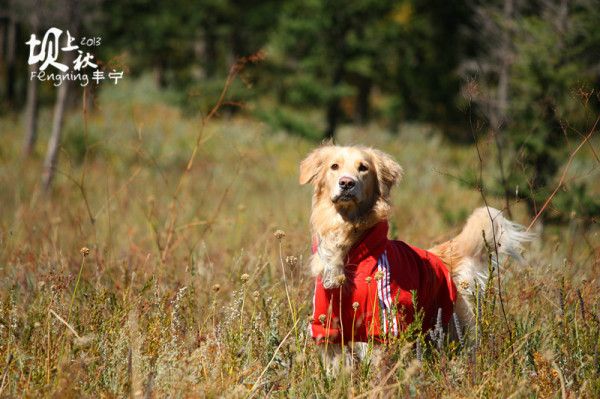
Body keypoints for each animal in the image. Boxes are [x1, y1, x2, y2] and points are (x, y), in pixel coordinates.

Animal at [298, 145, 528, 374]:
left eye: (363, 168)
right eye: (334, 166)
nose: (346, 183)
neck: (348, 242)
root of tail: (438, 256)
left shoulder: (381, 326)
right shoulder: (327, 328)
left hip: (457, 330)